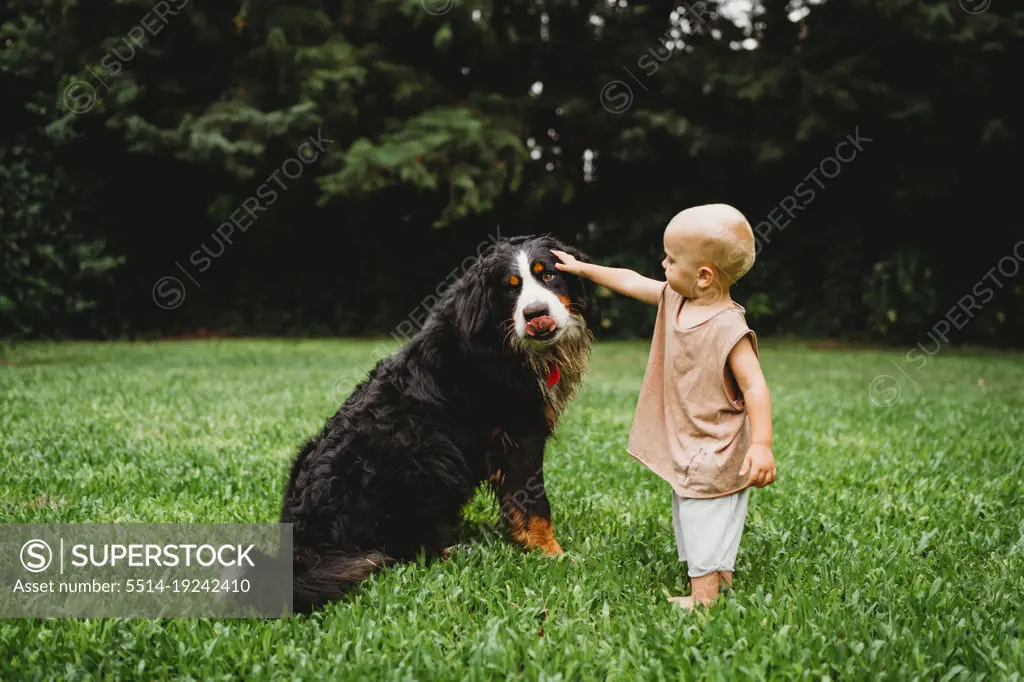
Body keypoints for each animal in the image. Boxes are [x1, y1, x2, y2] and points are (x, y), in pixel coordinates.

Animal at [252, 233, 598, 610]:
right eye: (511, 289)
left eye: (548, 275)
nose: (536, 314)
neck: (500, 340)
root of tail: (301, 542)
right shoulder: (522, 436)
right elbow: (534, 505)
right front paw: (552, 553)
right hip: (429, 456)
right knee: (401, 549)